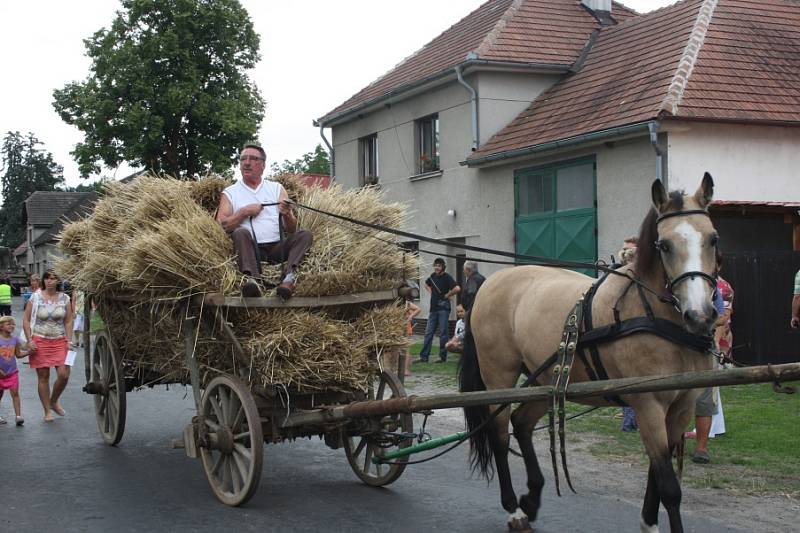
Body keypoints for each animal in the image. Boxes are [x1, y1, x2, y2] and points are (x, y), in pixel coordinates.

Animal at [462, 175, 720, 532]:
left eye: (713, 239)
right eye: (664, 245)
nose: (700, 315)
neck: (651, 313)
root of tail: (490, 282)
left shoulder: (682, 407)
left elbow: (657, 473)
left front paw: (648, 522)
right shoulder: (648, 405)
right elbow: (669, 487)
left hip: (546, 381)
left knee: (521, 422)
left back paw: (532, 498)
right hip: (499, 376)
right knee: (499, 434)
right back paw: (514, 509)